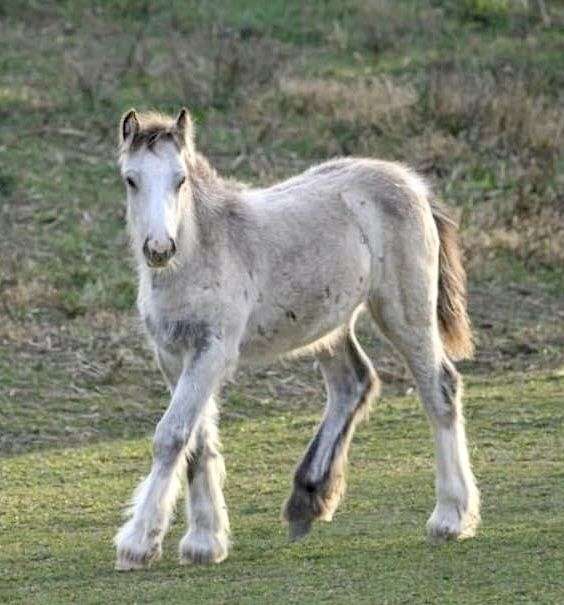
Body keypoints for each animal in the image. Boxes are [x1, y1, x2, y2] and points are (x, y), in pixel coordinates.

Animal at [114, 109, 480, 572]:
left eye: (180, 179)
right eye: (131, 180)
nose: (160, 248)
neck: (201, 253)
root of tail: (413, 185)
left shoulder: (212, 351)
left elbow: (172, 436)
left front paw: (138, 543)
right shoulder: (173, 356)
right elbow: (197, 443)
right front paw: (204, 541)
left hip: (404, 314)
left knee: (440, 390)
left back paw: (450, 517)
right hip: (328, 325)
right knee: (353, 384)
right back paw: (309, 497)